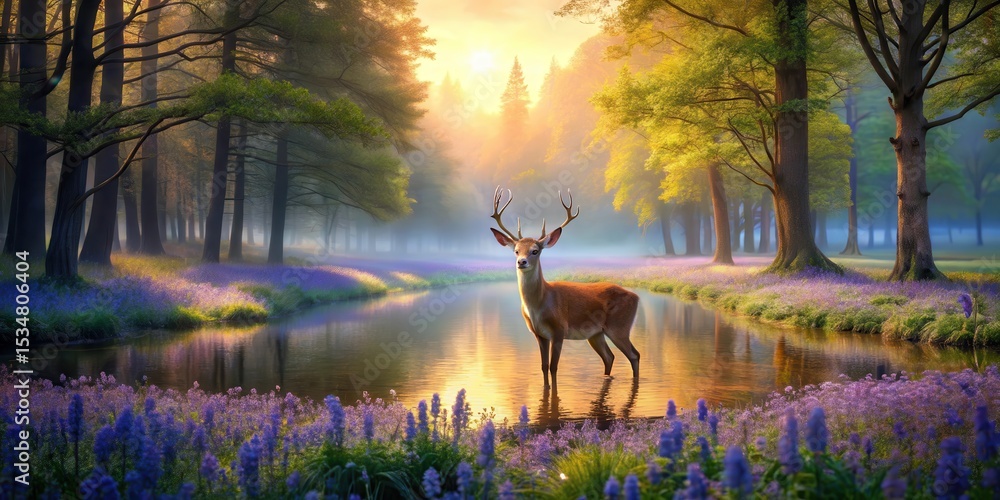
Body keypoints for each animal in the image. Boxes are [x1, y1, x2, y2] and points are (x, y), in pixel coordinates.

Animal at [489, 186, 641, 388]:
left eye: (535, 251)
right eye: (516, 251)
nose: (521, 262)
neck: (539, 305)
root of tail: (636, 296)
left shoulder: (559, 329)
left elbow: (554, 367)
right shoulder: (539, 334)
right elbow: (544, 367)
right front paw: (545, 388)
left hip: (619, 326)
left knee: (634, 355)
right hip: (596, 334)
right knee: (609, 357)